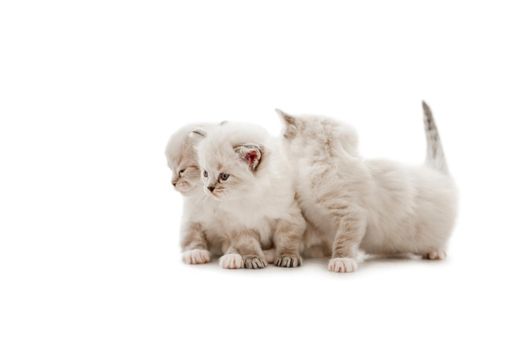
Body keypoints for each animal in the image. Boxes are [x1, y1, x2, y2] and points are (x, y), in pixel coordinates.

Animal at [194, 121, 306, 270]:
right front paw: (254, 259)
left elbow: (287, 240)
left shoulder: (289, 216)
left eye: (224, 176)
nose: (209, 188)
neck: (250, 195)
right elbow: (248, 244)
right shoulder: (239, 225)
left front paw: (287, 257)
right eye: (205, 173)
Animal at [278, 102, 456, 272]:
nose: (279, 143)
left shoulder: (352, 214)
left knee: (440, 241)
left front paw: (341, 260)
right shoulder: (310, 213)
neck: (323, 162)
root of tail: (434, 171)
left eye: (283, 136)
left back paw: (435, 252)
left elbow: (344, 240)